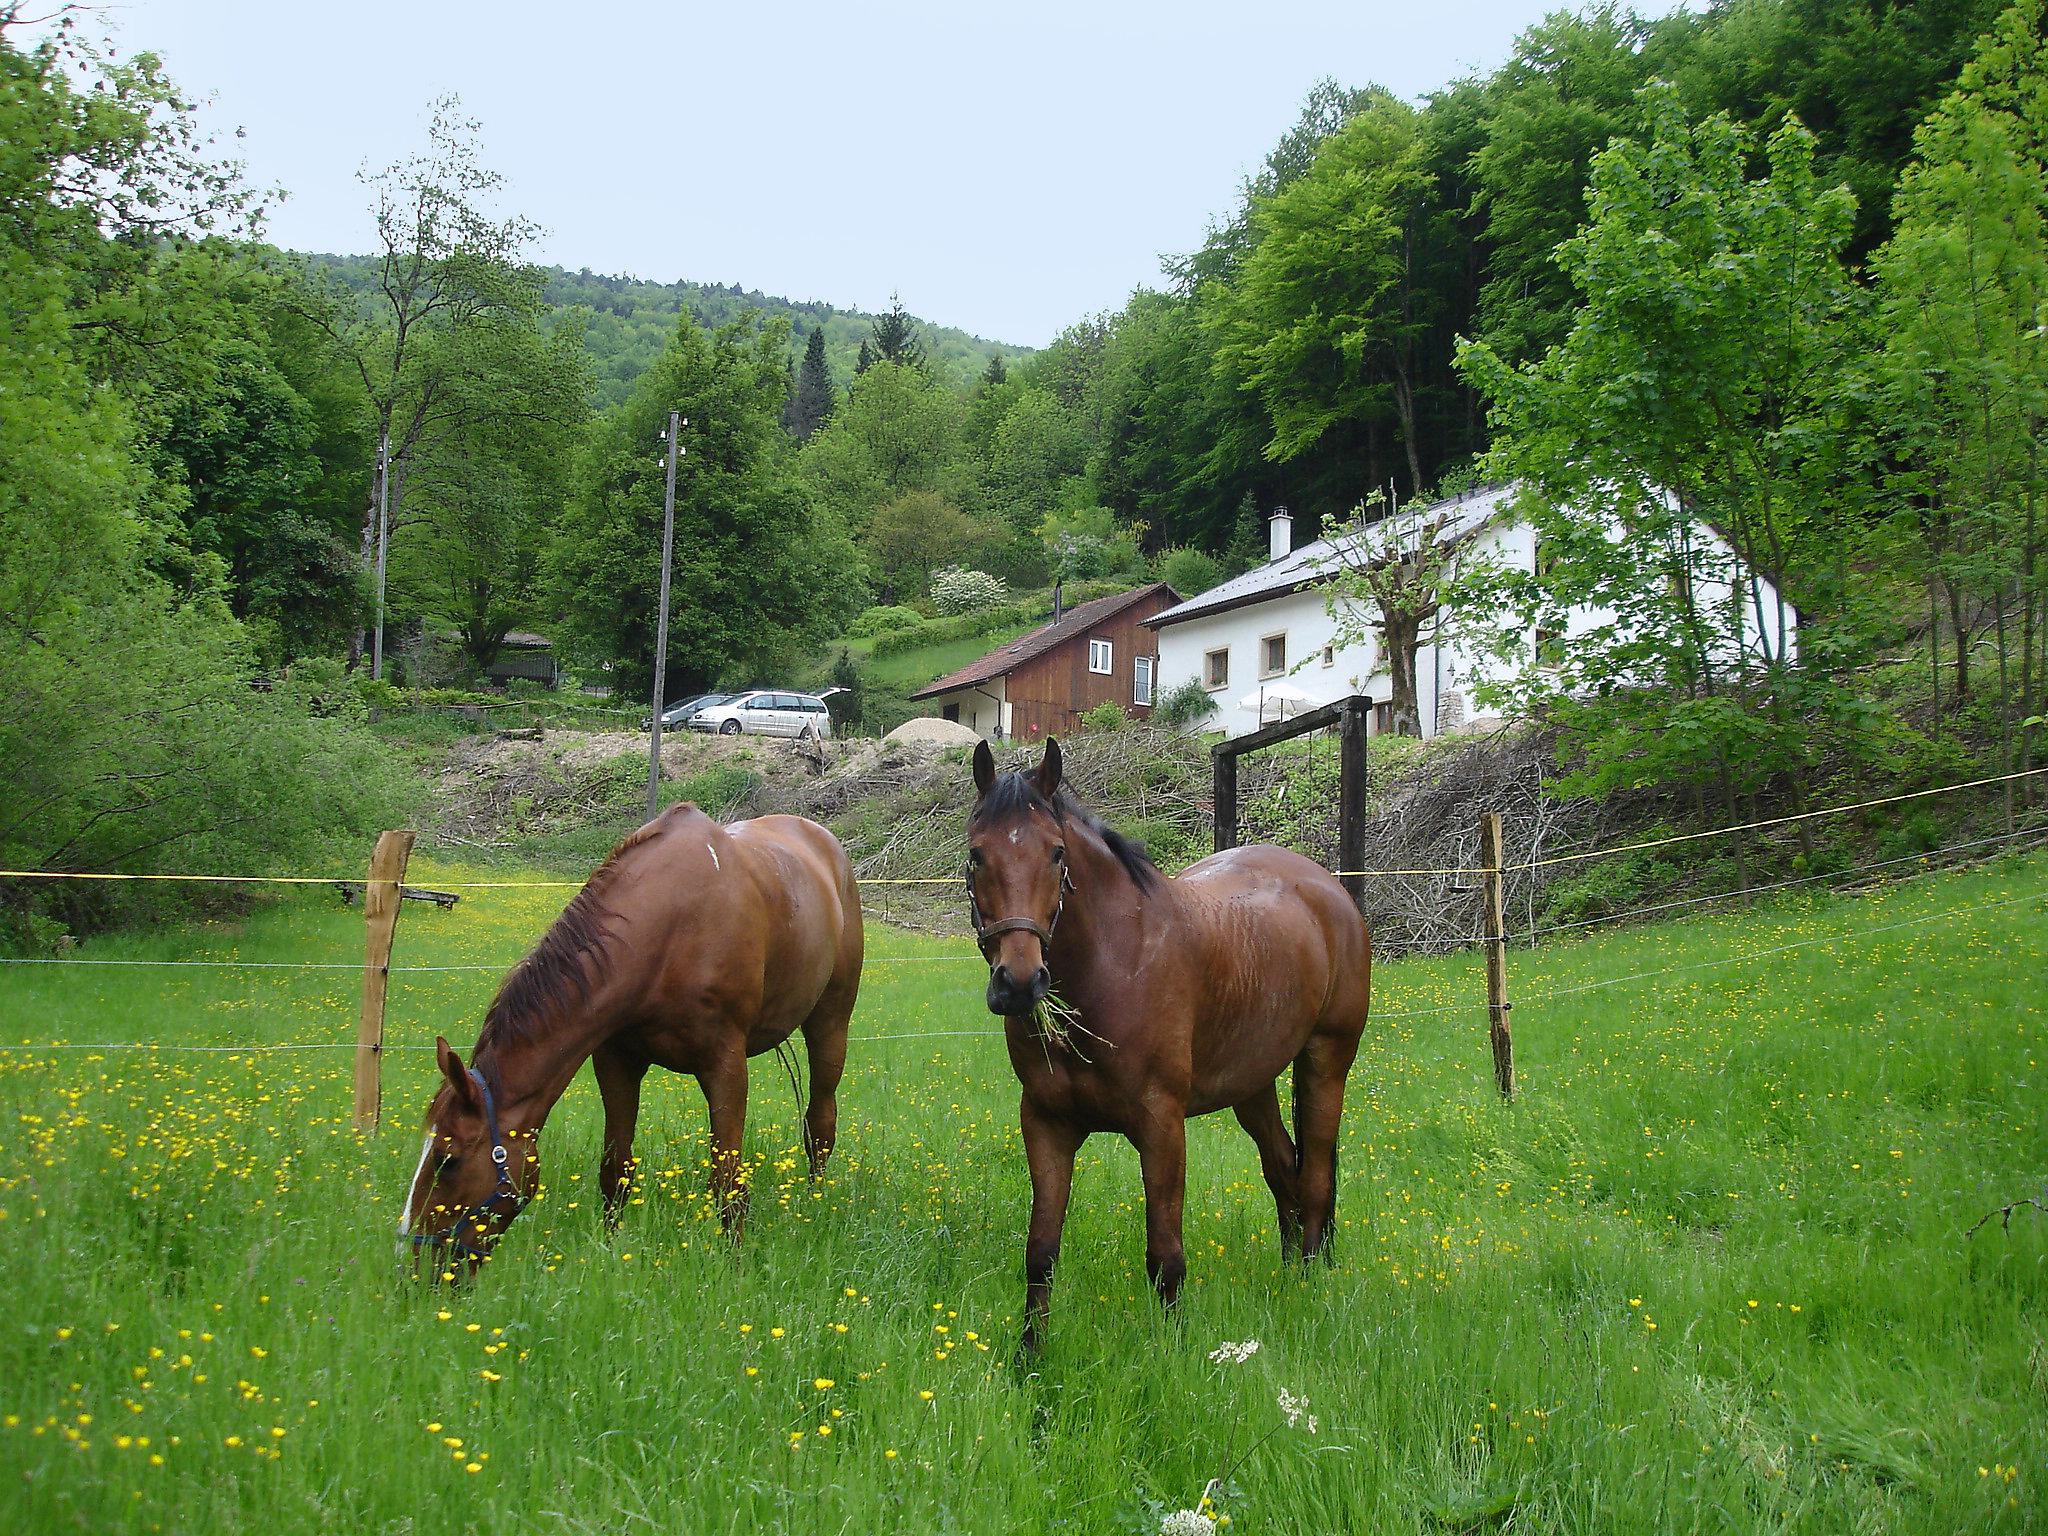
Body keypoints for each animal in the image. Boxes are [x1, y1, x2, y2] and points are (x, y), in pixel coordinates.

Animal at [403, 806, 860, 1277]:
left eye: (446, 1159)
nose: (416, 1268)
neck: (671, 929)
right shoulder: (616, 1061)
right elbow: (615, 1168)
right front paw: (611, 1248)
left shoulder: (725, 1066)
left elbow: (727, 1179)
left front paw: (733, 1264)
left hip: (830, 1023)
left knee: (820, 1123)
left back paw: (814, 1202)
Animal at [962, 741, 1376, 1351]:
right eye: (976, 856)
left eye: (1057, 854)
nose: (1019, 982)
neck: (1114, 965)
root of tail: (1327, 887)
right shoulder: (1046, 1125)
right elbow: (1040, 1253)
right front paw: (1028, 1358)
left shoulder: (1161, 1126)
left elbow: (1165, 1256)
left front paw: (1175, 1353)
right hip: (1252, 1086)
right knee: (1285, 1173)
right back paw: (1287, 1281)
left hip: (1326, 1061)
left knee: (1316, 1179)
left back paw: (1306, 1287)